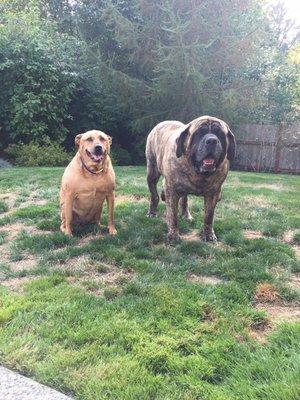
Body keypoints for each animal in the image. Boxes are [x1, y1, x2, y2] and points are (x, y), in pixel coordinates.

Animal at [146, 114, 236, 242]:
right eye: (198, 133)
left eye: (220, 134)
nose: (212, 140)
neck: (198, 172)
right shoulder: (172, 190)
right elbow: (172, 214)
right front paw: (173, 235)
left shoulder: (213, 193)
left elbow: (209, 216)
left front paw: (208, 235)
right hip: (152, 172)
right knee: (154, 195)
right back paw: (152, 212)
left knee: (184, 200)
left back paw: (186, 215)